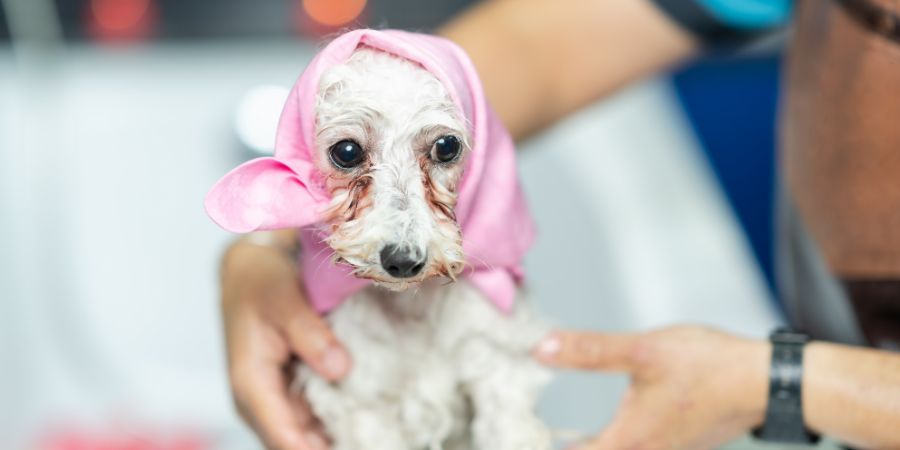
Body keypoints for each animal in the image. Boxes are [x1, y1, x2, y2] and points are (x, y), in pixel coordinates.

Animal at [207, 29, 552, 450]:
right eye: (346, 151)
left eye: (446, 146)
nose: (403, 259)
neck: (411, 307)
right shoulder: (360, 401)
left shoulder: (498, 358)